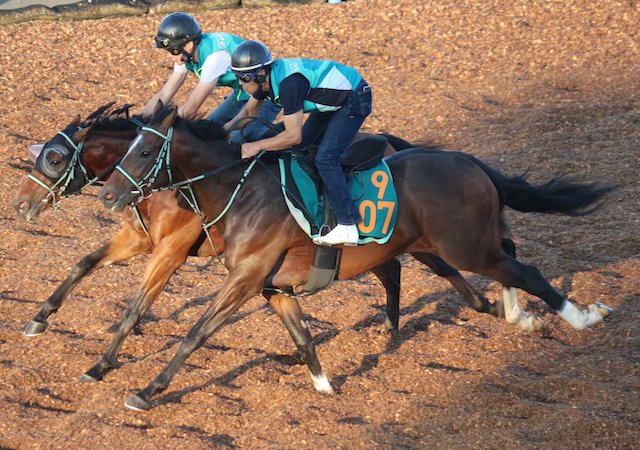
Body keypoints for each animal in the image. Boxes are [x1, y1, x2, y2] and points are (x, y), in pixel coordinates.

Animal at [12, 103, 520, 384]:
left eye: (53, 158)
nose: (19, 205)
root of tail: (394, 144)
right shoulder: (137, 239)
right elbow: (82, 264)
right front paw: (39, 320)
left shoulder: (171, 251)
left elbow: (137, 305)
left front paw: (102, 365)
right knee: (396, 270)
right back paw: (395, 329)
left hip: (423, 239)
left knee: (454, 267)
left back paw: (487, 308)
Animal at [97, 106, 612, 412]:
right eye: (126, 146)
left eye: (145, 149)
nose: (107, 195)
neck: (242, 191)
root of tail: (469, 161)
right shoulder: (272, 286)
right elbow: (303, 338)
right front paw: (326, 386)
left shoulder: (245, 278)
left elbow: (196, 333)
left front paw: (146, 391)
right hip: (458, 243)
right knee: (510, 261)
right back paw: (520, 316)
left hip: (463, 245)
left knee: (529, 271)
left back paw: (581, 317)